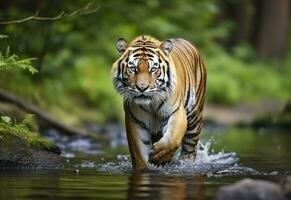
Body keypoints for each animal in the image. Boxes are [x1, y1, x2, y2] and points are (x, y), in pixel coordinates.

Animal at [112, 35, 208, 170]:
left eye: (153, 69)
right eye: (133, 69)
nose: (142, 88)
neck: (152, 103)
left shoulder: (176, 112)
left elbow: (172, 139)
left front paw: (160, 156)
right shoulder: (135, 121)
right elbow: (140, 153)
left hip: (194, 120)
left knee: (190, 148)